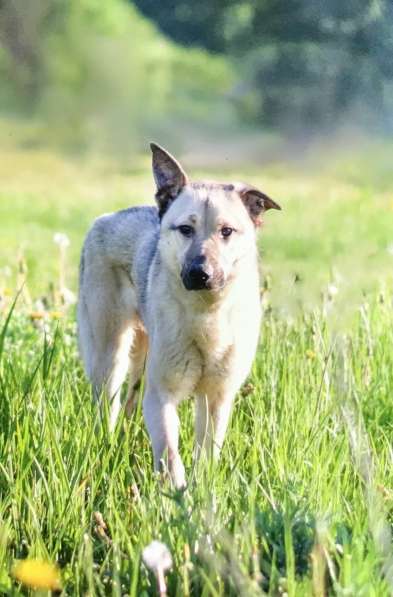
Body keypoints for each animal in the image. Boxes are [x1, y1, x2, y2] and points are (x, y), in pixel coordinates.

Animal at [77, 142, 278, 486]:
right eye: (186, 229)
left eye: (227, 231)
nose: (200, 273)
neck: (207, 313)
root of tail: (104, 219)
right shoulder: (162, 395)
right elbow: (170, 455)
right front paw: (177, 492)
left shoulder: (217, 397)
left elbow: (207, 455)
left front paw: (201, 491)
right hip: (111, 355)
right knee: (108, 406)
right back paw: (106, 445)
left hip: (139, 362)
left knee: (129, 403)